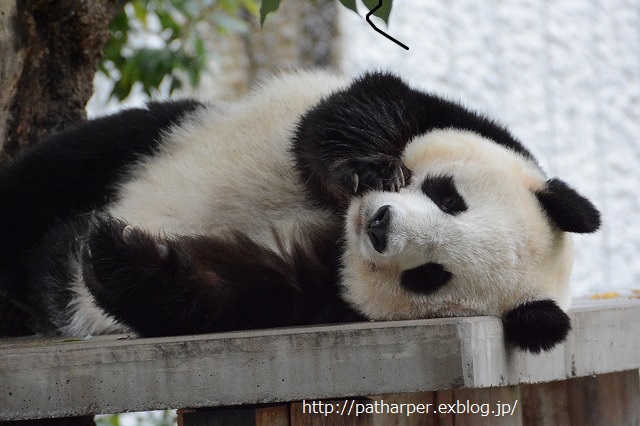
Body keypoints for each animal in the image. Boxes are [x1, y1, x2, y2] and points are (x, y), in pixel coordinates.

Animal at [0, 70, 600, 352]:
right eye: (448, 196)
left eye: (429, 275)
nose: (379, 224)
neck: (337, 230)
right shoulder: (464, 120)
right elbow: (351, 112)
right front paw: (363, 168)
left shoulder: (321, 297)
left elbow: (236, 289)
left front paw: (117, 255)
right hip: (153, 139)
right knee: (47, 174)